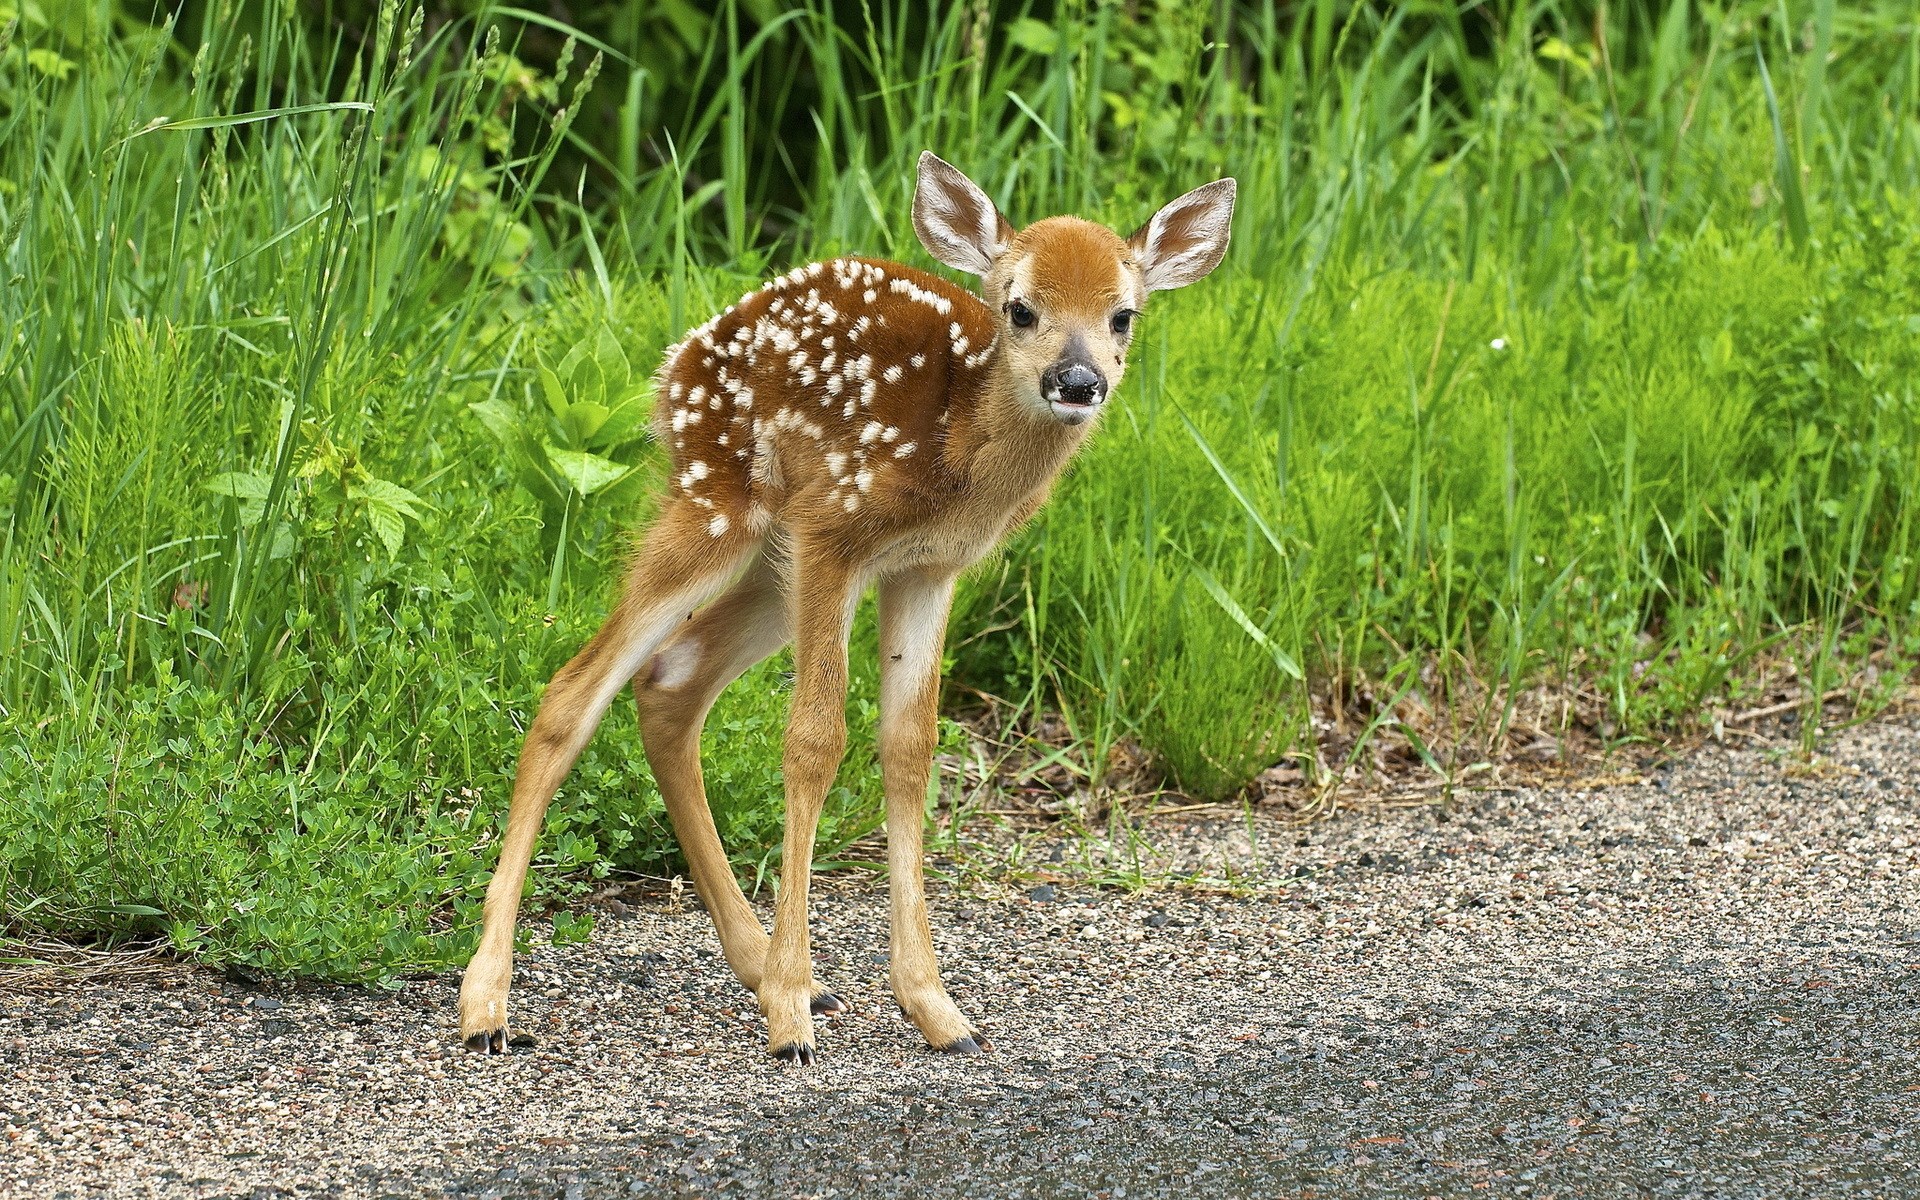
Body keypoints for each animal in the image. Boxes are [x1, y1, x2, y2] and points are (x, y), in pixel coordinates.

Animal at [459, 152, 1235, 1063]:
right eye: (1021, 307)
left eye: (1124, 314)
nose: (1078, 382)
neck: (958, 449)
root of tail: (677, 362)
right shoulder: (835, 530)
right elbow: (814, 740)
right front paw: (790, 1018)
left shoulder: (926, 570)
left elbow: (907, 747)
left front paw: (934, 1008)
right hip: (721, 506)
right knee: (571, 692)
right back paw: (487, 1004)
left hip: (771, 565)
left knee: (670, 678)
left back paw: (759, 964)